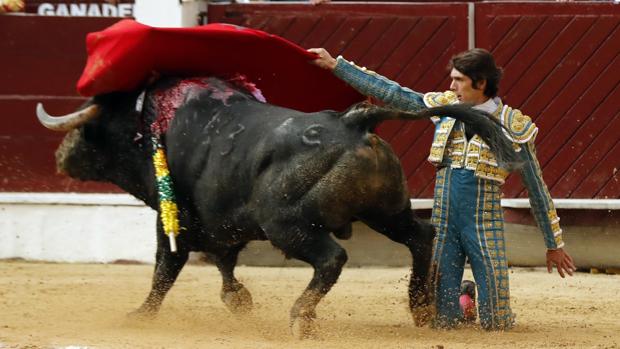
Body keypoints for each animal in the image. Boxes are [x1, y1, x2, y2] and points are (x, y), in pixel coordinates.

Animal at [36, 76, 516, 334]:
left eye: (89, 128)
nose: (60, 155)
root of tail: (354, 120)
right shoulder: (221, 224)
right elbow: (224, 263)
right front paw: (239, 302)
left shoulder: (177, 219)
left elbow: (165, 267)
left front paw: (140, 315)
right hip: (386, 211)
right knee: (421, 236)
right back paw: (420, 306)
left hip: (287, 224)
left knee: (332, 258)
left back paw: (302, 317)